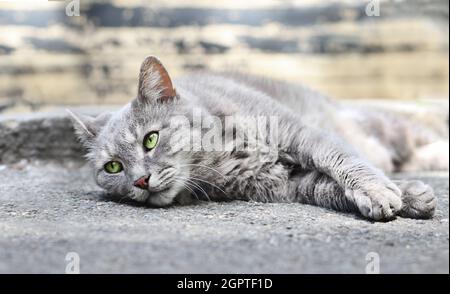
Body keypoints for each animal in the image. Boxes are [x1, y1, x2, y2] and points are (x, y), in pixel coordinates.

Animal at [68, 55, 448, 220]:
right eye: (113, 167)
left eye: (150, 140)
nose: (140, 181)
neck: (220, 156)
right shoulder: (285, 184)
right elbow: (326, 188)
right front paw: (409, 196)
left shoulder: (300, 133)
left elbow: (340, 159)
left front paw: (378, 191)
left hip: (390, 129)